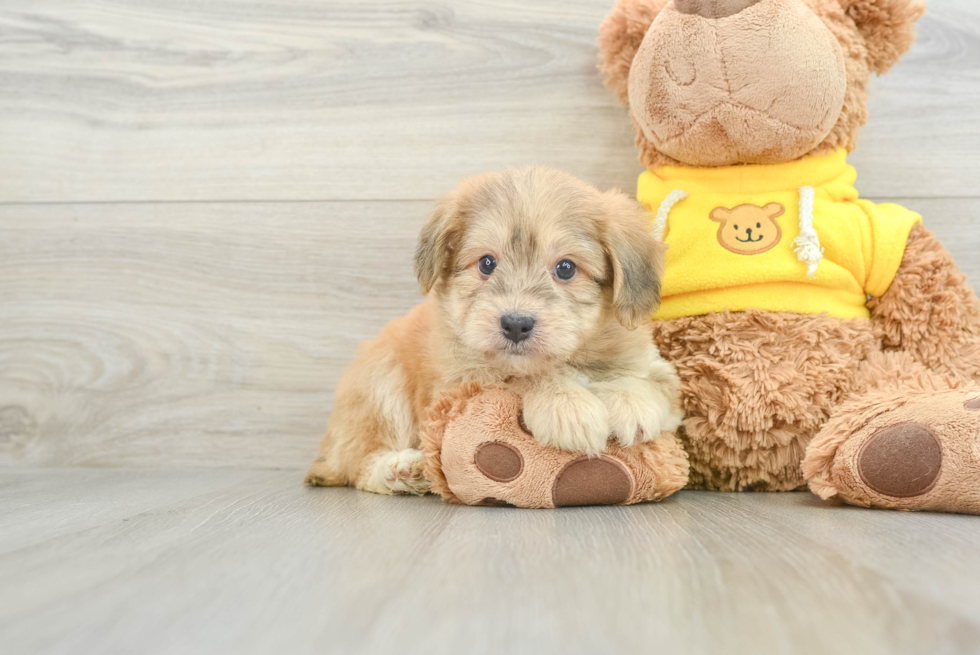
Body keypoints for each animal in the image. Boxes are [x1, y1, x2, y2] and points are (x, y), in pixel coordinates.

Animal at [306, 167, 680, 494]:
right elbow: (521, 379)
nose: (515, 324)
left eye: (566, 268)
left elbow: (650, 383)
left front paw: (630, 400)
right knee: (360, 464)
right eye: (487, 263)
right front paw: (566, 405)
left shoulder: (662, 374)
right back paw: (404, 470)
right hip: (380, 383)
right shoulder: (461, 385)